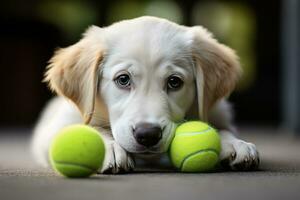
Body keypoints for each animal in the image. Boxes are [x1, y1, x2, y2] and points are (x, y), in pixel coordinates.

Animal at [31, 16, 258, 173]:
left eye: (174, 82)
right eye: (123, 79)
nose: (148, 134)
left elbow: (222, 128)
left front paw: (234, 143)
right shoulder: (55, 128)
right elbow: (84, 127)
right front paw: (108, 146)